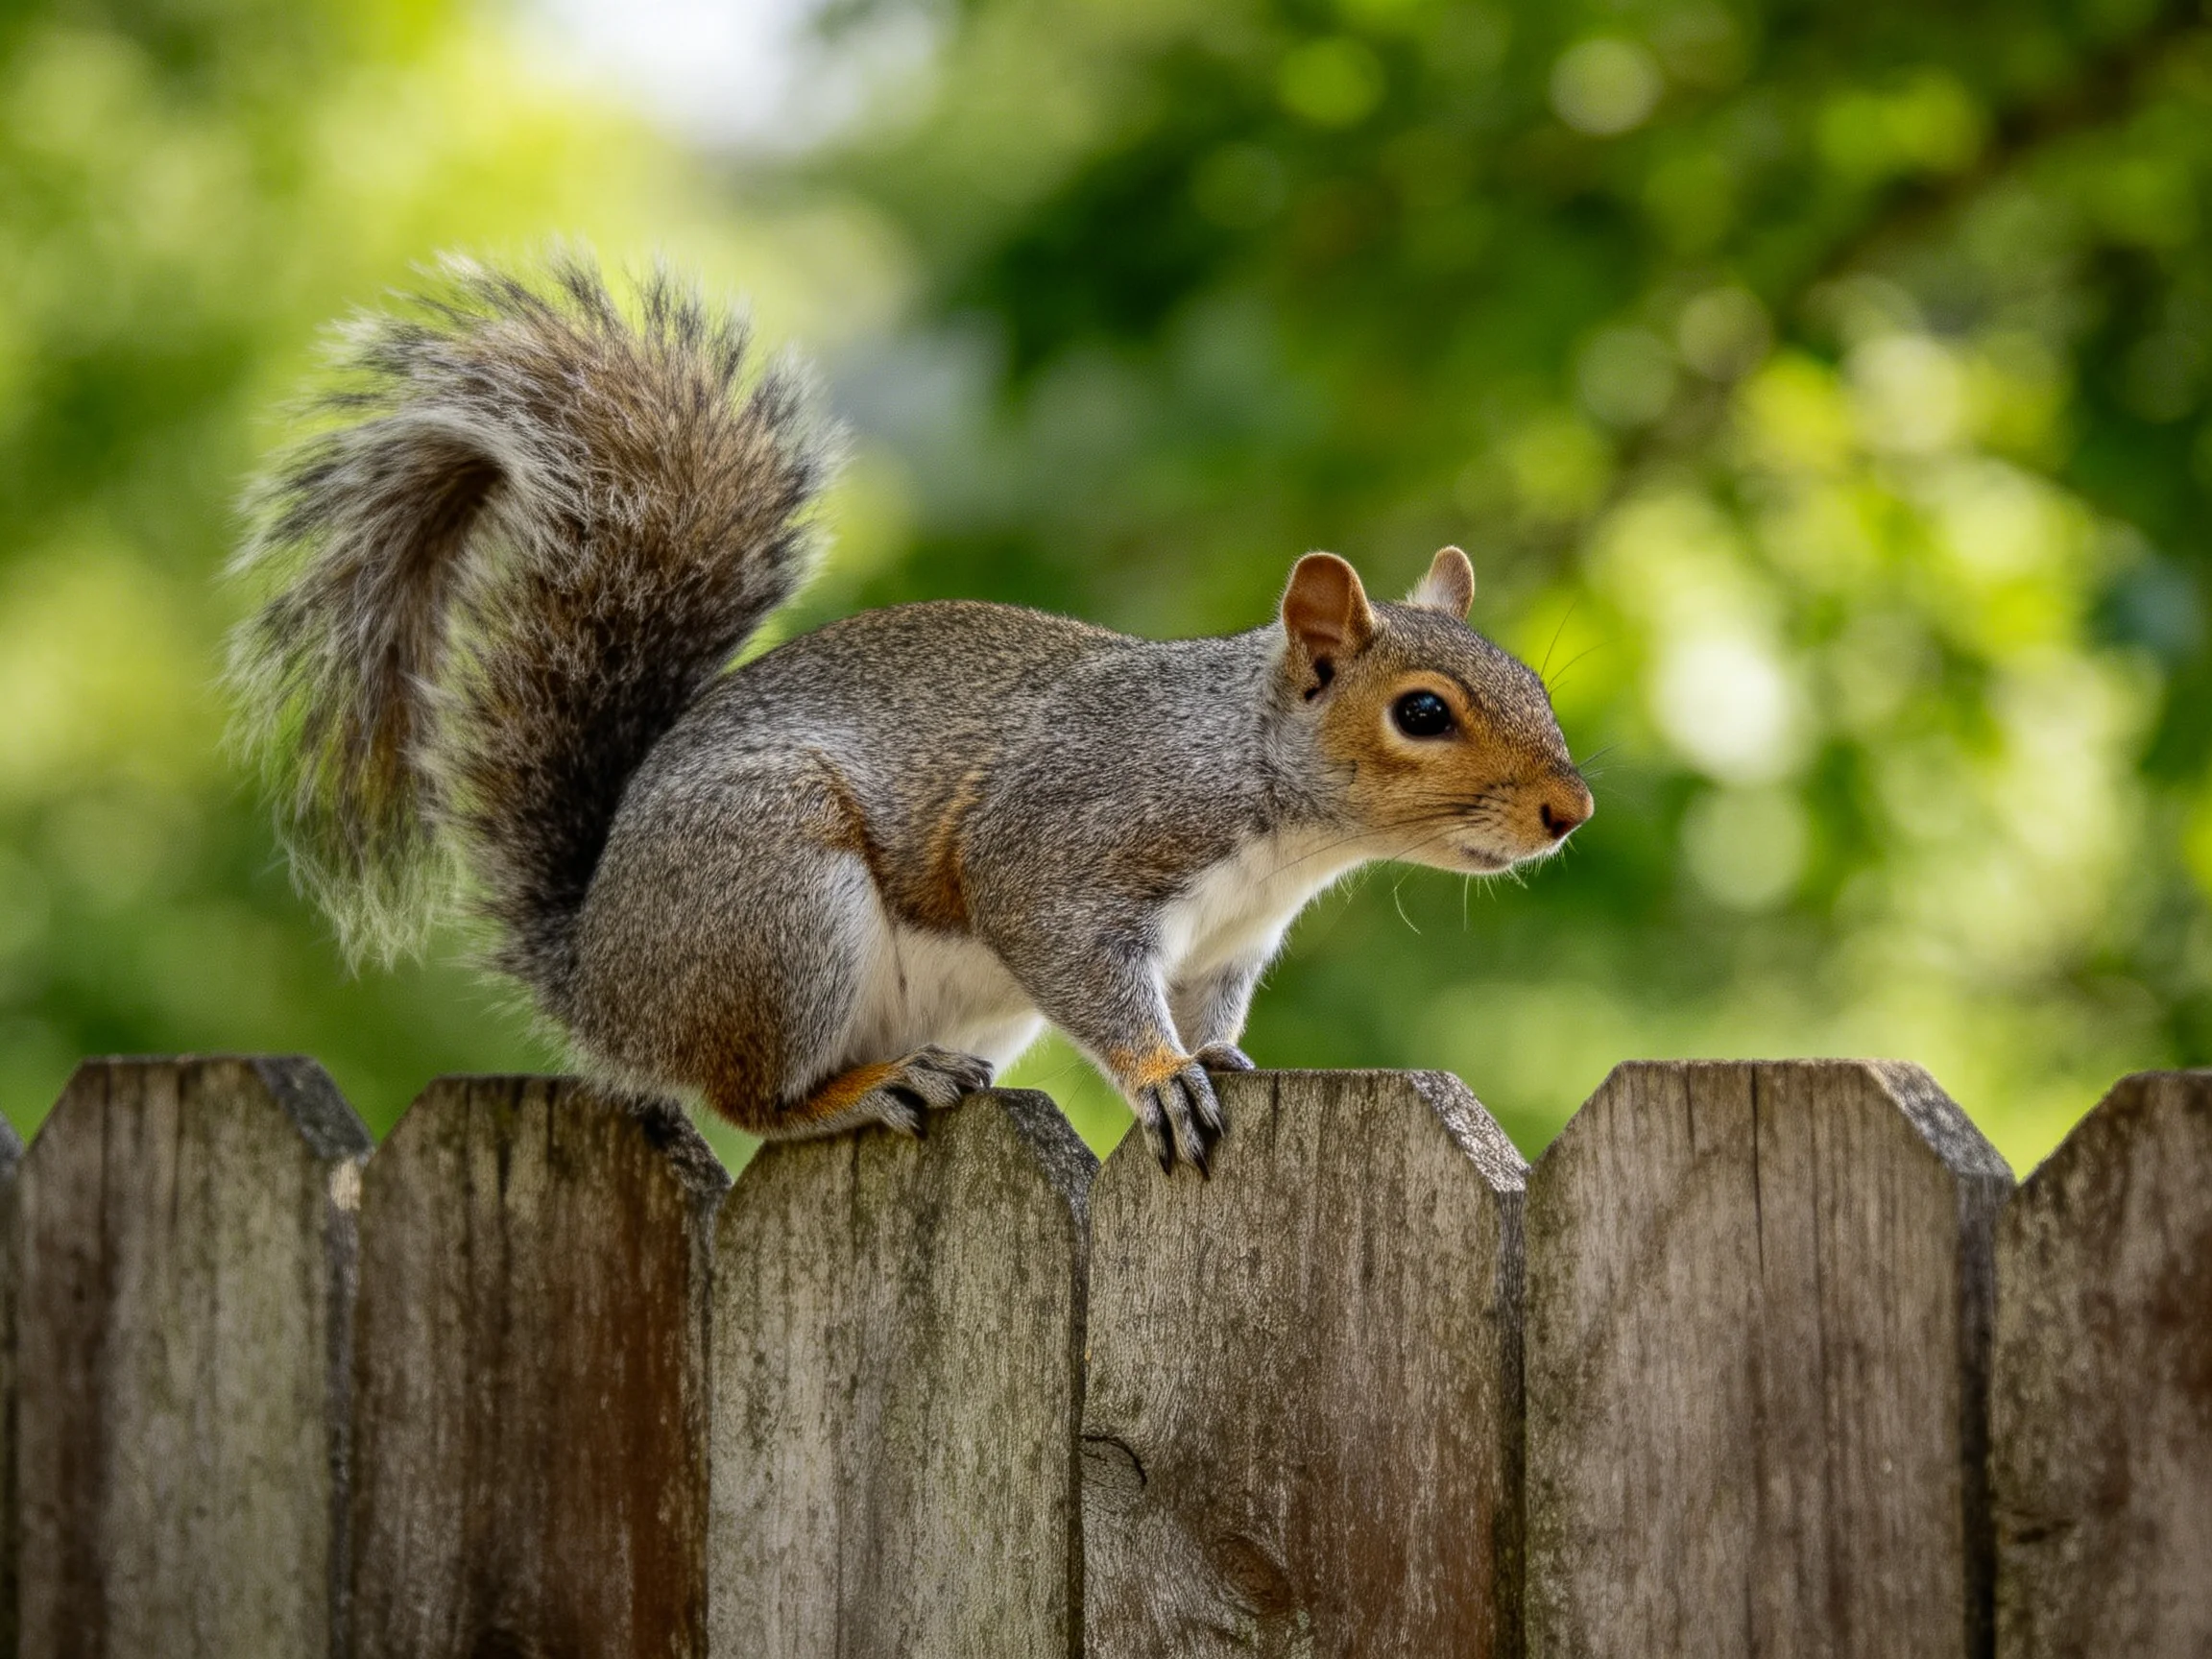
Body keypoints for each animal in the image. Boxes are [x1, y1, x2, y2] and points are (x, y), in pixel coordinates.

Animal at [229, 255, 1591, 1175]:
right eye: (1424, 712)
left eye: (1533, 684)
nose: (1569, 812)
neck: (1270, 803)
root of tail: (603, 976)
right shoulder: (1071, 846)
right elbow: (1078, 957)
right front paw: (1161, 1081)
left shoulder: (1226, 949)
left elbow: (1212, 1016)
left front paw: (1219, 1064)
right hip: (776, 905)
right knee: (753, 1097)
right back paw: (860, 1092)